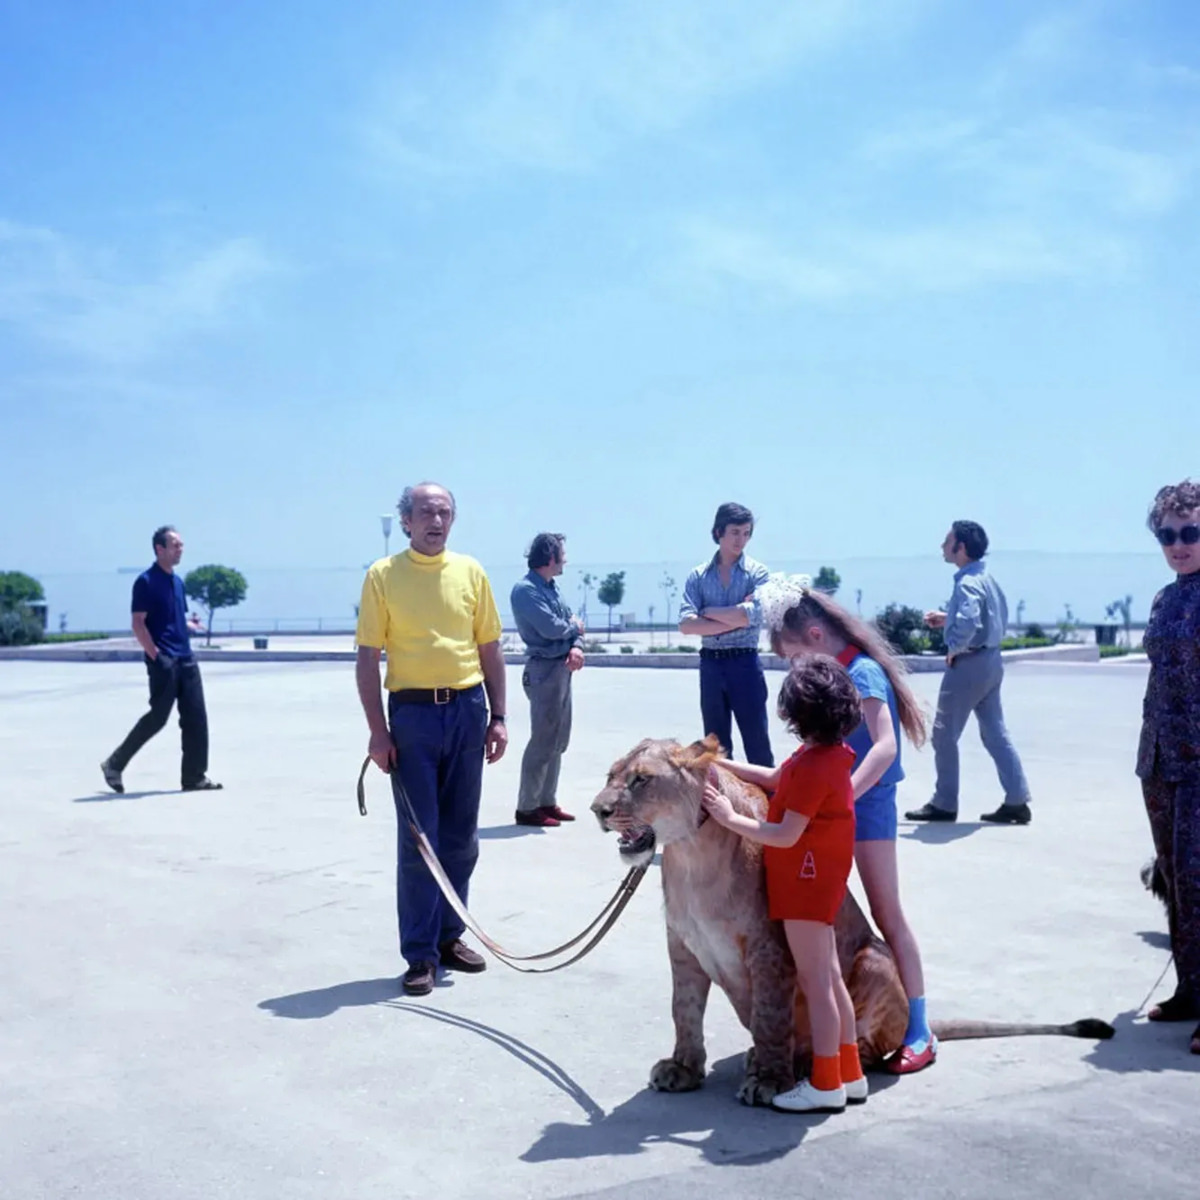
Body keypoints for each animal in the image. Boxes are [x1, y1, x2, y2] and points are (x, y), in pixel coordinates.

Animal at [590, 739, 1113, 1104]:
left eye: (641, 780)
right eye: (610, 775)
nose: (598, 810)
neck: (690, 854)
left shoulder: (769, 945)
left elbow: (771, 1014)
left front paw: (770, 1080)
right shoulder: (682, 945)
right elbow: (684, 1010)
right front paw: (683, 1070)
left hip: (873, 960)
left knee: (870, 1042)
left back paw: (810, 1063)